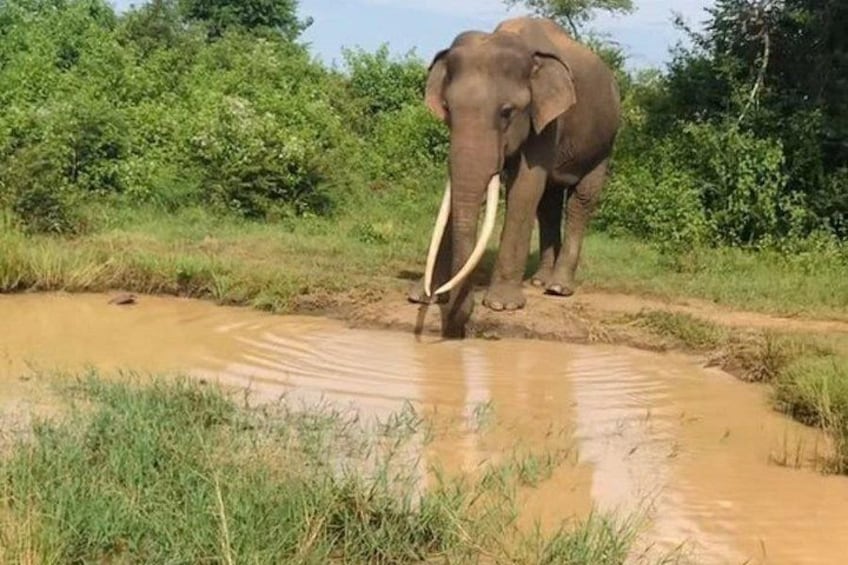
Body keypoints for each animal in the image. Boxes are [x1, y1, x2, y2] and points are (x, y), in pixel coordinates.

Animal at [407, 16, 621, 338]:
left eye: (507, 112)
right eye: (447, 109)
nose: (458, 325)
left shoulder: (547, 120)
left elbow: (525, 187)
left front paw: (501, 305)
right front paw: (421, 295)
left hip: (605, 142)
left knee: (580, 200)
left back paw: (557, 288)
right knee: (548, 203)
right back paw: (540, 282)